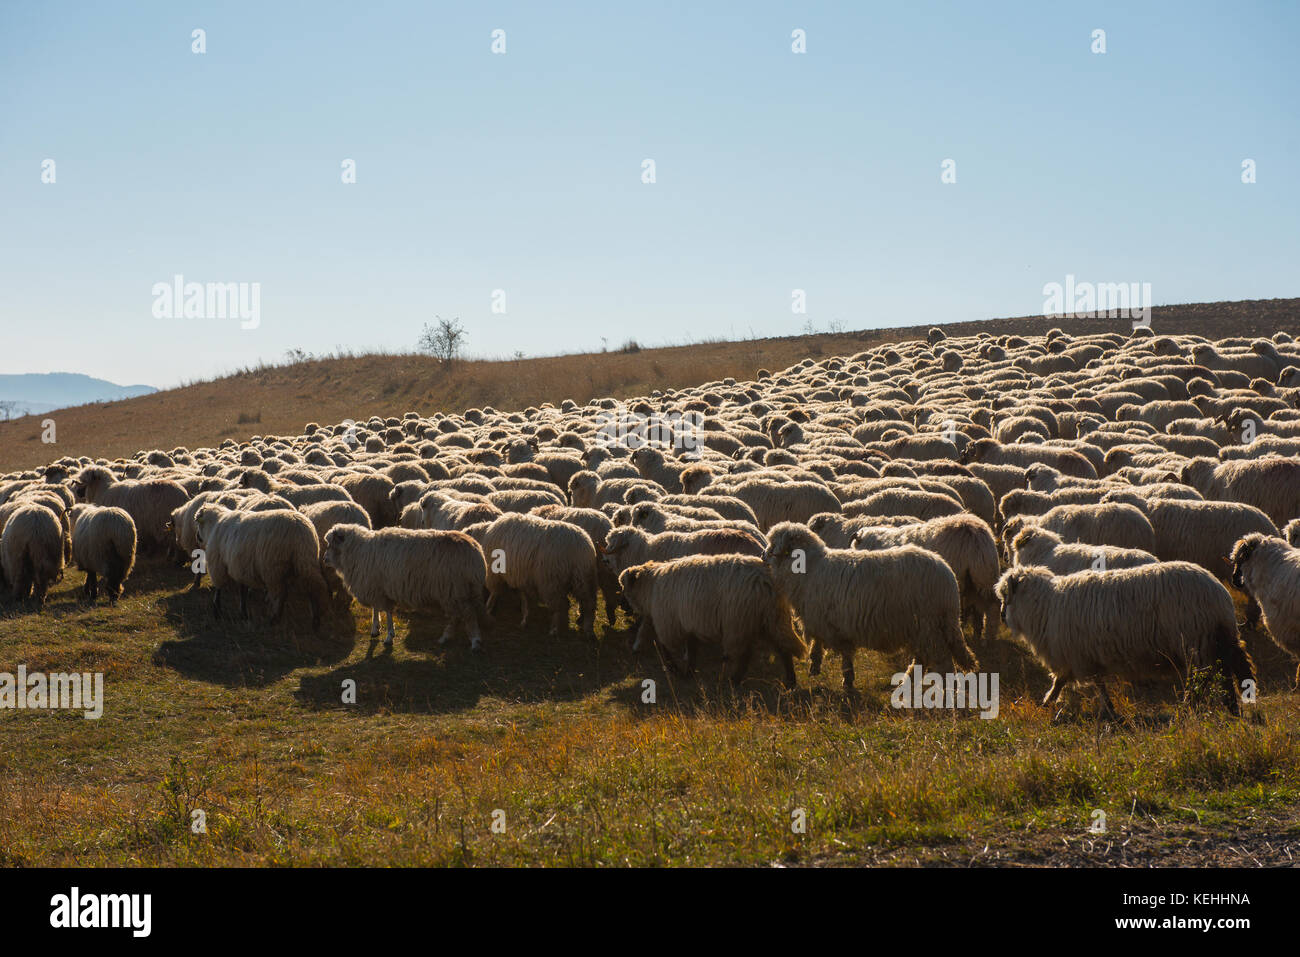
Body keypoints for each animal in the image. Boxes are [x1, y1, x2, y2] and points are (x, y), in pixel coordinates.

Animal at [194, 504, 330, 628]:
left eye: (199, 524)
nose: (197, 537)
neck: (213, 526)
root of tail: (300, 531)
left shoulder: (218, 565)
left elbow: (219, 589)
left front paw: (217, 612)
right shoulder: (241, 567)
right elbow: (243, 591)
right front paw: (243, 614)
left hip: (273, 568)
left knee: (281, 594)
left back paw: (274, 620)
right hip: (305, 561)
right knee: (313, 587)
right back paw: (316, 621)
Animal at [322, 525, 490, 654]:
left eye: (331, 544)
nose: (324, 559)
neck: (357, 551)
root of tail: (477, 553)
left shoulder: (379, 589)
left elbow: (388, 611)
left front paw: (389, 636)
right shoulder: (376, 587)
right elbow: (376, 608)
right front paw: (375, 629)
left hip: (456, 589)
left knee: (468, 614)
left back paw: (474, 641)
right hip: (456, 592)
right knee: (458, 615)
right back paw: (446, 637)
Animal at [618, 556, 806, 687]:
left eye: (623, 587)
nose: (623, 607)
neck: (651, 588)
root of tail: (766, 581)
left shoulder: (669, 624)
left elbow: (666, 648)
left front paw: (675, 669)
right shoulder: (689, 624)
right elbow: (691, 649)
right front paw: (688, 672)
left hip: (738, 621)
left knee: (746, 653)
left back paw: (734, 681)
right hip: (769, 619)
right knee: (782, 648)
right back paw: (790, 682)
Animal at [763, 523, 978, 692]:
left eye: (772, 543)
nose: (762, 555)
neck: (809, 567)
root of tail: (947, 577)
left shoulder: (831, 624)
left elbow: (842, 654)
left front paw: (845, 681)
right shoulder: (833, 624)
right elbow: (827, 646)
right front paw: (820, 668)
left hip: (928, 625)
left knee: (942, 660)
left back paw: (948, 691)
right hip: (923, 629)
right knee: (922, 658)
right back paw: (907, 682)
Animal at [996, 563, 1254, 717]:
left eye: (1005, 595)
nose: (1001, 616)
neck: (1045, 606)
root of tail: (1220, 595)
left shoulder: (1078, 656)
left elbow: (1082, 682)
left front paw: (1049, 702)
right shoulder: (1081, 657)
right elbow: (1067, 681)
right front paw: (1048, 702)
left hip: (1197, 641)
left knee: (1205, 677)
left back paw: (1189, 705)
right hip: (1213, 642)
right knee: (1224, 674)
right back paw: (1231, 707)